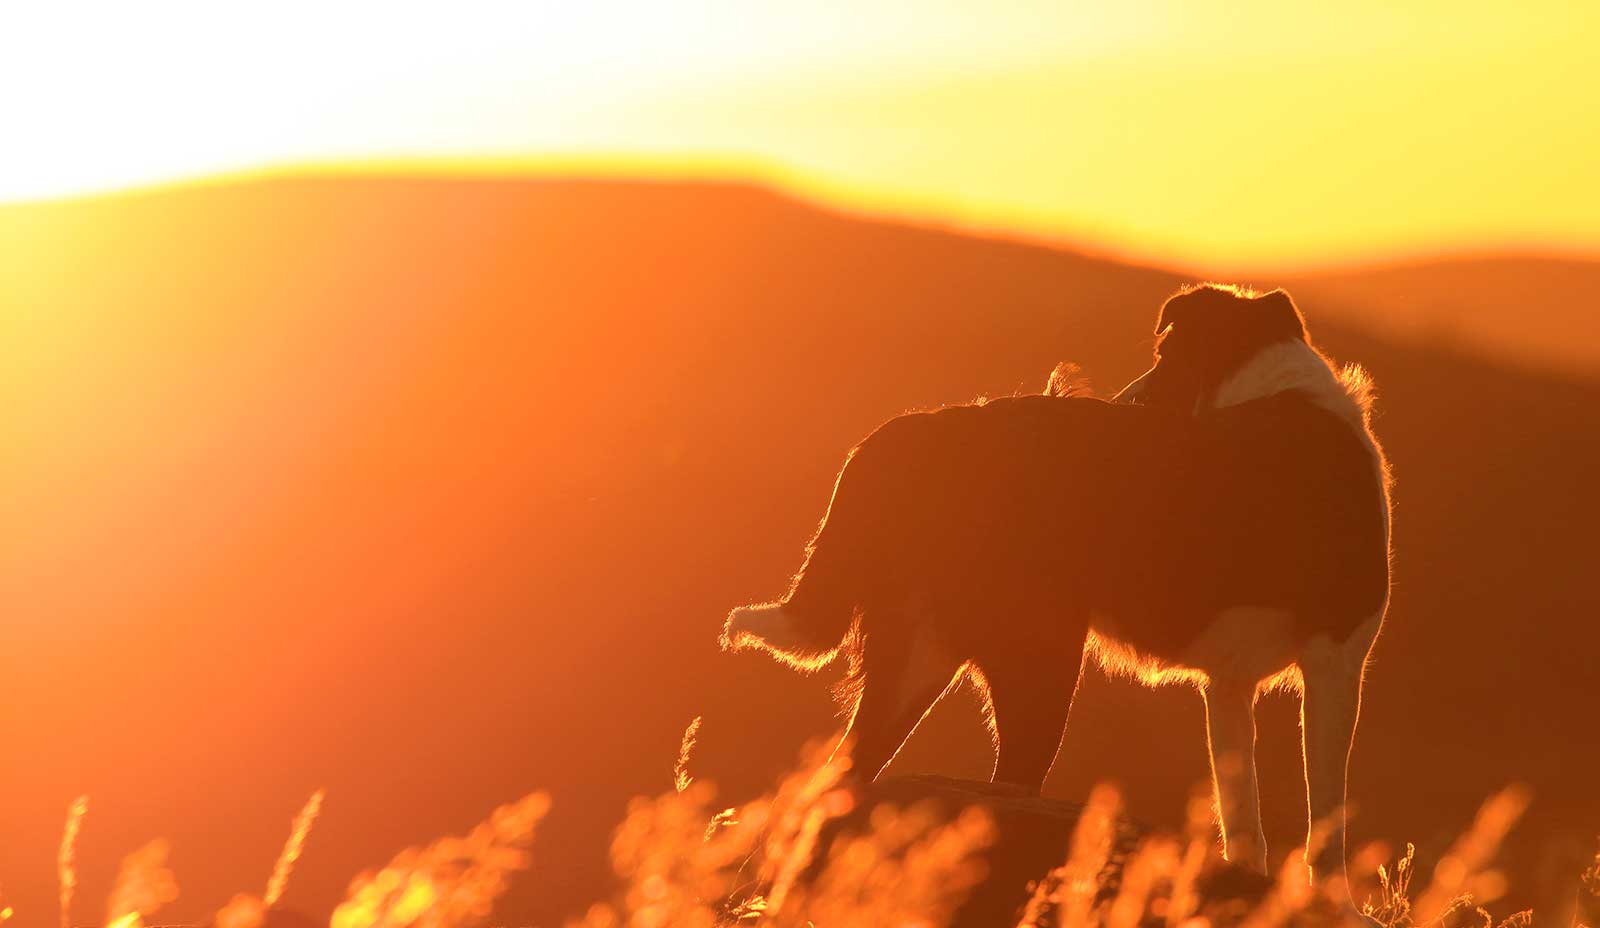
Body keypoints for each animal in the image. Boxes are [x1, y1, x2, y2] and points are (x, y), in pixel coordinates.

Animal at [723, 284, 1388, 889]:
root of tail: (915, 430)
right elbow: (1327, 816)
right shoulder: (1334, 662)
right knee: (1003, 788)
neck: (1275, 389)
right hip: (1040, 663)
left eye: (1168, 356)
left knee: (840, 779)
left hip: (920, 659)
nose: (1123, 400)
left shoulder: (1231, 685)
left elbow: (1244, 812)